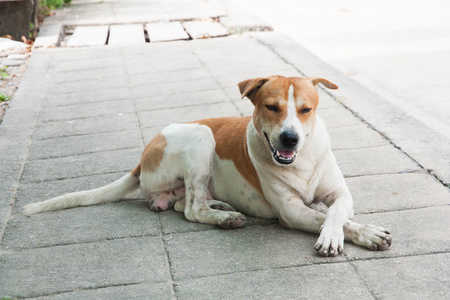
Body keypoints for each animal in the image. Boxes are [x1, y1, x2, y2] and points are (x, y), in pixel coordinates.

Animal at [23, 75, 390, 255]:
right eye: (271, 107)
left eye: (305, 109)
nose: (289, 139)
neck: (301, 161)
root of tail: (141, 158)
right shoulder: (290, 211)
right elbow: (326, 218)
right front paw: (357, 234)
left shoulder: (341, 193)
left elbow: (336, 212)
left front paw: (354, 232)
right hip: (201, 138)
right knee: (191, 210)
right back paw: (224, 218)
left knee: (182, 203)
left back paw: (220, 205)